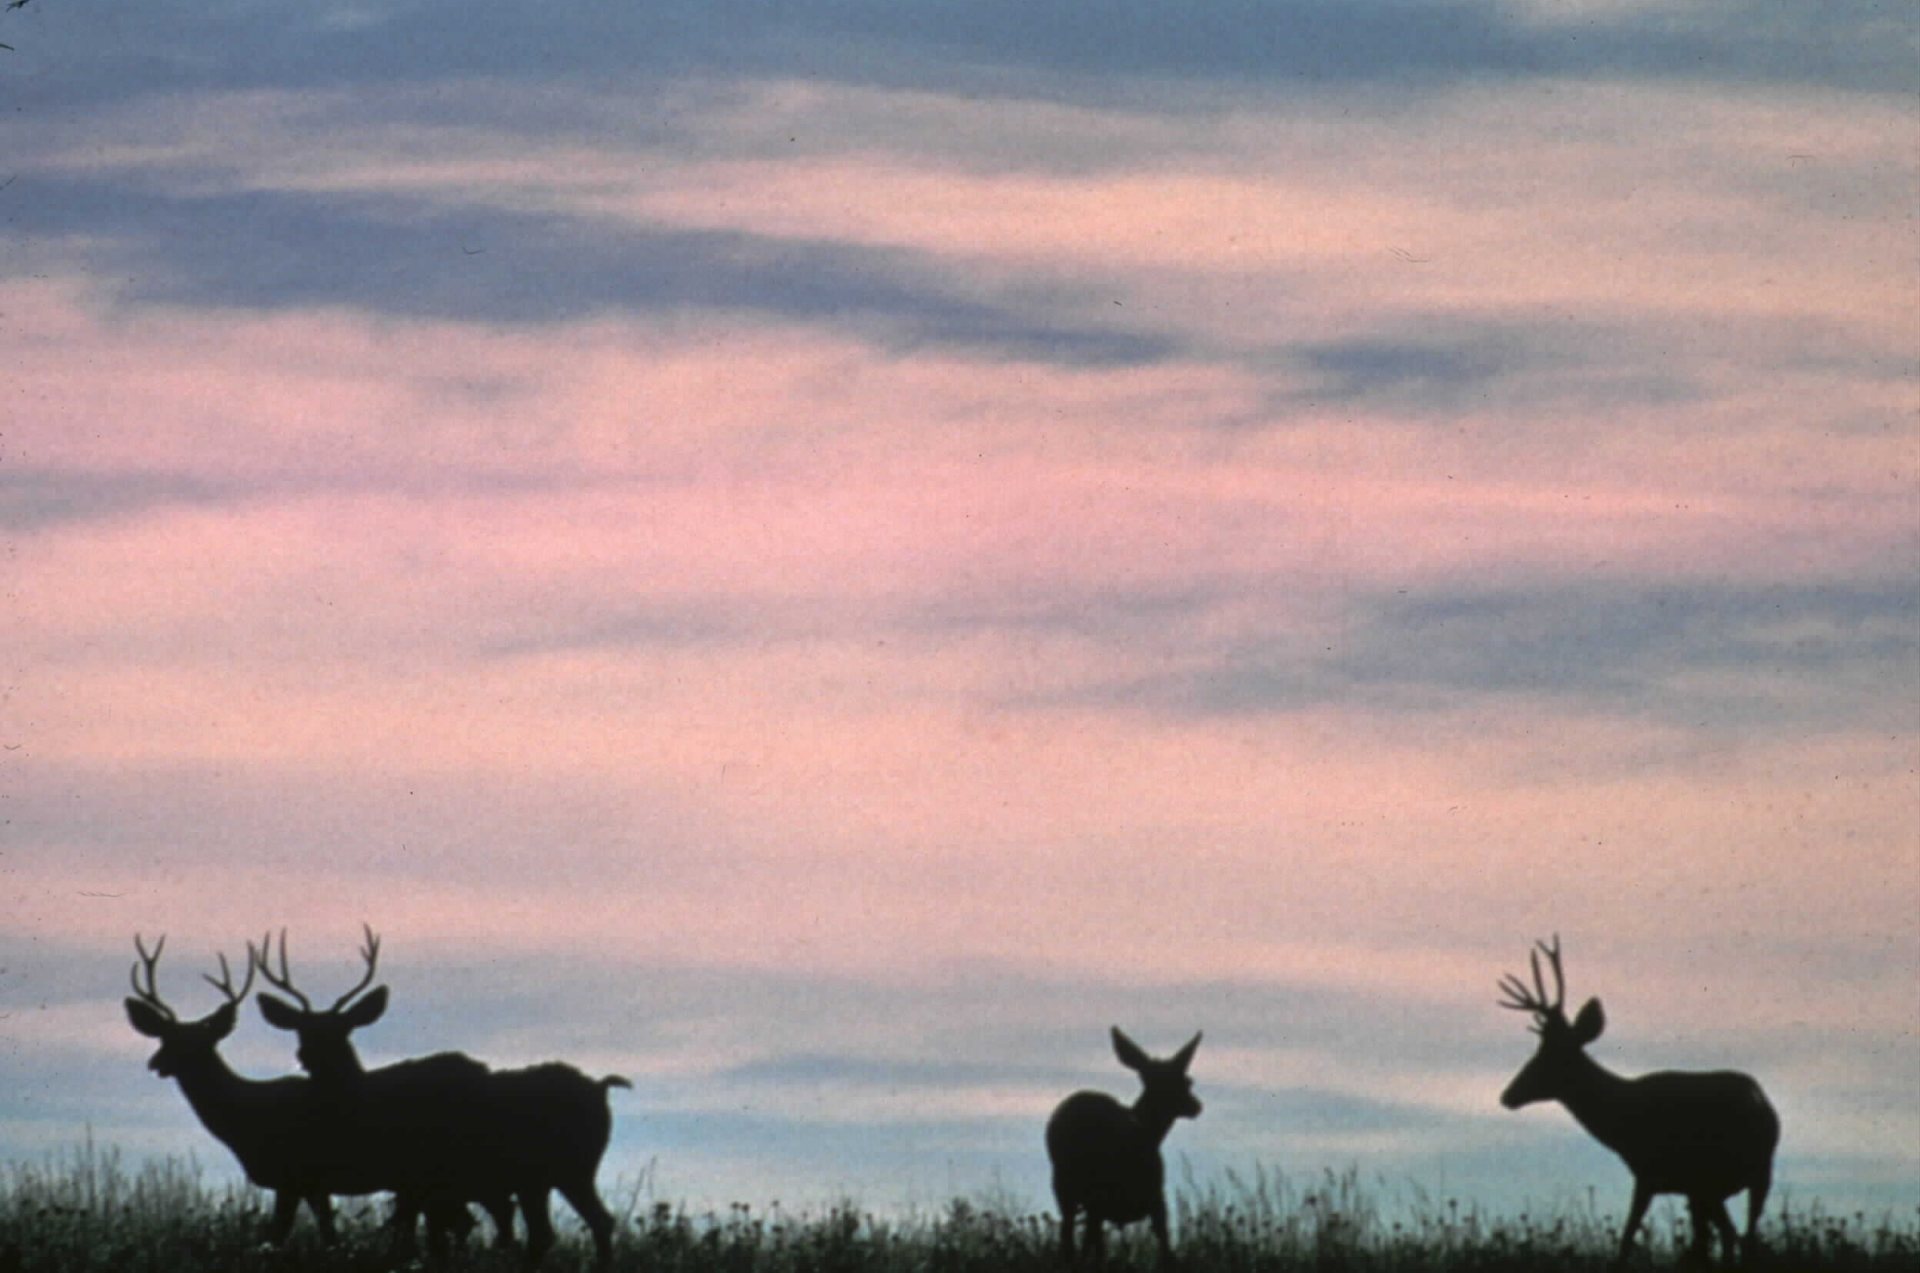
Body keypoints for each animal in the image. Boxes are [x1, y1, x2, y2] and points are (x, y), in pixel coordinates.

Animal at [255, 933, 625, 1267]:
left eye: (343, 1029)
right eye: (301, 1029)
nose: (306, 1055)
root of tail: (601, 1087)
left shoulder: (421, 1178)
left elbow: (421, 1241)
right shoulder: (415, 1184)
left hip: (564, 1168)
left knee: (573, 1227)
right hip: (549, 1176)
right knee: (573, 1227)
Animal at [1052, 1029, 1198, 1267]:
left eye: (1187, 1080)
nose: (1196, 1106)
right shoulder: (1155, 1195)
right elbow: (1165, 1245)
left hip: (1068, 1188)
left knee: (1071, 1236)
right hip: (1087, 1189)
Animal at [1497, 936, 1781, 1267]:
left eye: (1550, 1054)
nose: (1507, 1095)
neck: (1622, 1124)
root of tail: (1761, 1105)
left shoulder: (1650, 1173)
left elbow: (1627, 1236)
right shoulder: (1685, 1187)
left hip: (1719, 1176)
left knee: (1733, 1236)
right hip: (1750, 1177)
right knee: (1741, 1237)